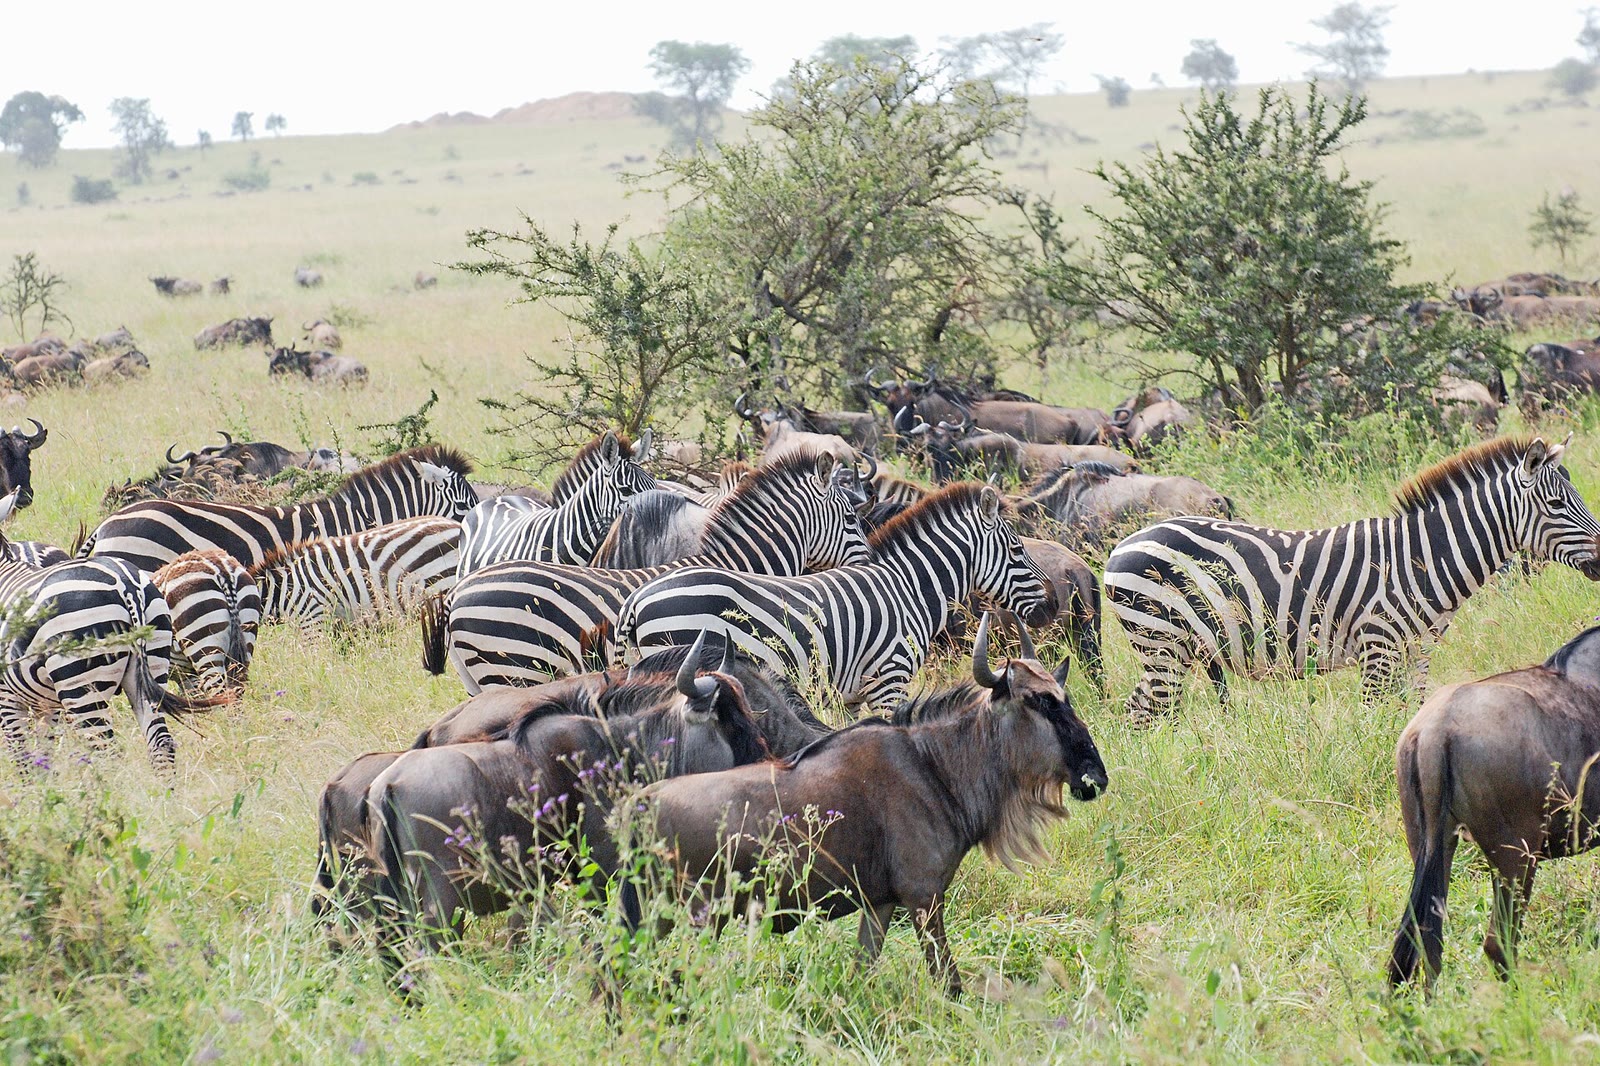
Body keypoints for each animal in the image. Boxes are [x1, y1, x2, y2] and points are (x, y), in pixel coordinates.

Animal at [614, 482, 1056, 714]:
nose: (1052, 606)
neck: (909, 588)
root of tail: (636, 599)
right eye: (1017, 550)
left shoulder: (857, 694)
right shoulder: (890, 680)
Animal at [1102, 435, 1600, 724]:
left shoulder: (1417, 654)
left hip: (1169, 649)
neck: (1424, 559)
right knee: (1153, 716)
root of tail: (1121, 544)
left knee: (1136, 713)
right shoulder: (1378, 648)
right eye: (1558, 504)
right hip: (1161, 642)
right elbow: (1372, 722)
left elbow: (1410, 717)